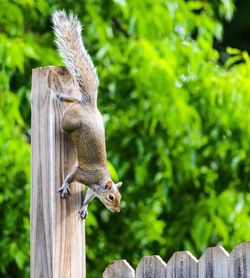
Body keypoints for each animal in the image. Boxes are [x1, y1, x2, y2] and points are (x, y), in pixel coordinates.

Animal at [51, 10, 122, 219]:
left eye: (120, 197)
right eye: (111, 197)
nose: (117, 211)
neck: (100, 181)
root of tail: (89, 106)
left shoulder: (92, 188)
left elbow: (89, 196)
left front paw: (84, 207)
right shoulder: (82, 174)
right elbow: (70, 176)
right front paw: (65, 186)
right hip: (69, 121)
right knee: (68, 115)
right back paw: (62, 98)